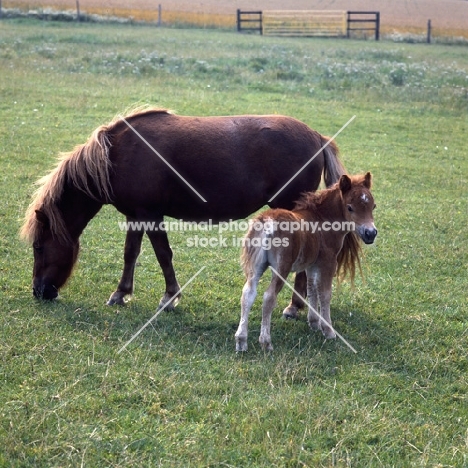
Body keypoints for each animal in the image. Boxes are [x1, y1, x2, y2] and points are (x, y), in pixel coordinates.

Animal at [20, 107, 352, 310]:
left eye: (38, 247)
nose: (39, 291)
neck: (115, 156)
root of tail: (318, 138)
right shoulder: (135, 216)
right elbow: (131, 254)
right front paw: (122, 292)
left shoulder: (151, 216)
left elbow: (163, 255)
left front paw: (170, 297)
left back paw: (295, 306)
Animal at [234, 174, 376, 352]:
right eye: (350, 208)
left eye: (373, 206)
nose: (371, 233)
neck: (322, 218)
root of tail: (267, 222)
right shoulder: (328, 262)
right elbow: (325, 293)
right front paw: (328, 331)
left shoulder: (312, 264)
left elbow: (311, 288)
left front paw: (314, 323)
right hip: (282, 267)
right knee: (269, 296)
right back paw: (266, 342)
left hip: (256, 266)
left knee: (248, 293)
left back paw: (241, 341)